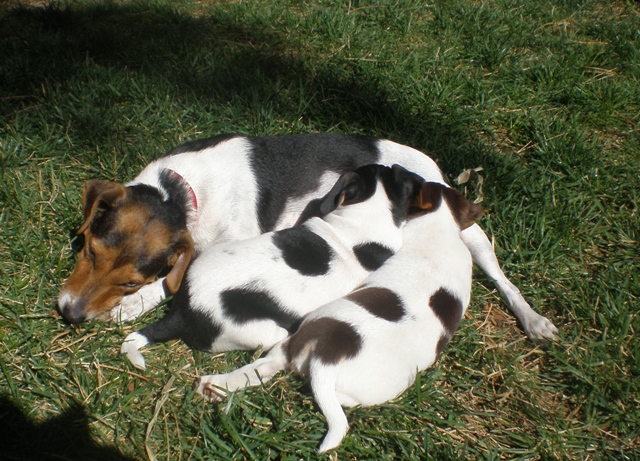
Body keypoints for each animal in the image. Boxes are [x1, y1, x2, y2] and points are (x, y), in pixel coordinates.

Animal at [57, 133, 556, 342]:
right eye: (88, 251)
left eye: (129, 281)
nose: (68, 313)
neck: (180, 194)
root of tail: (430, 166)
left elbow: (173, 277)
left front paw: (131, 307)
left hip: (472, 238)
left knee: (501, 276)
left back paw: (533, 320)